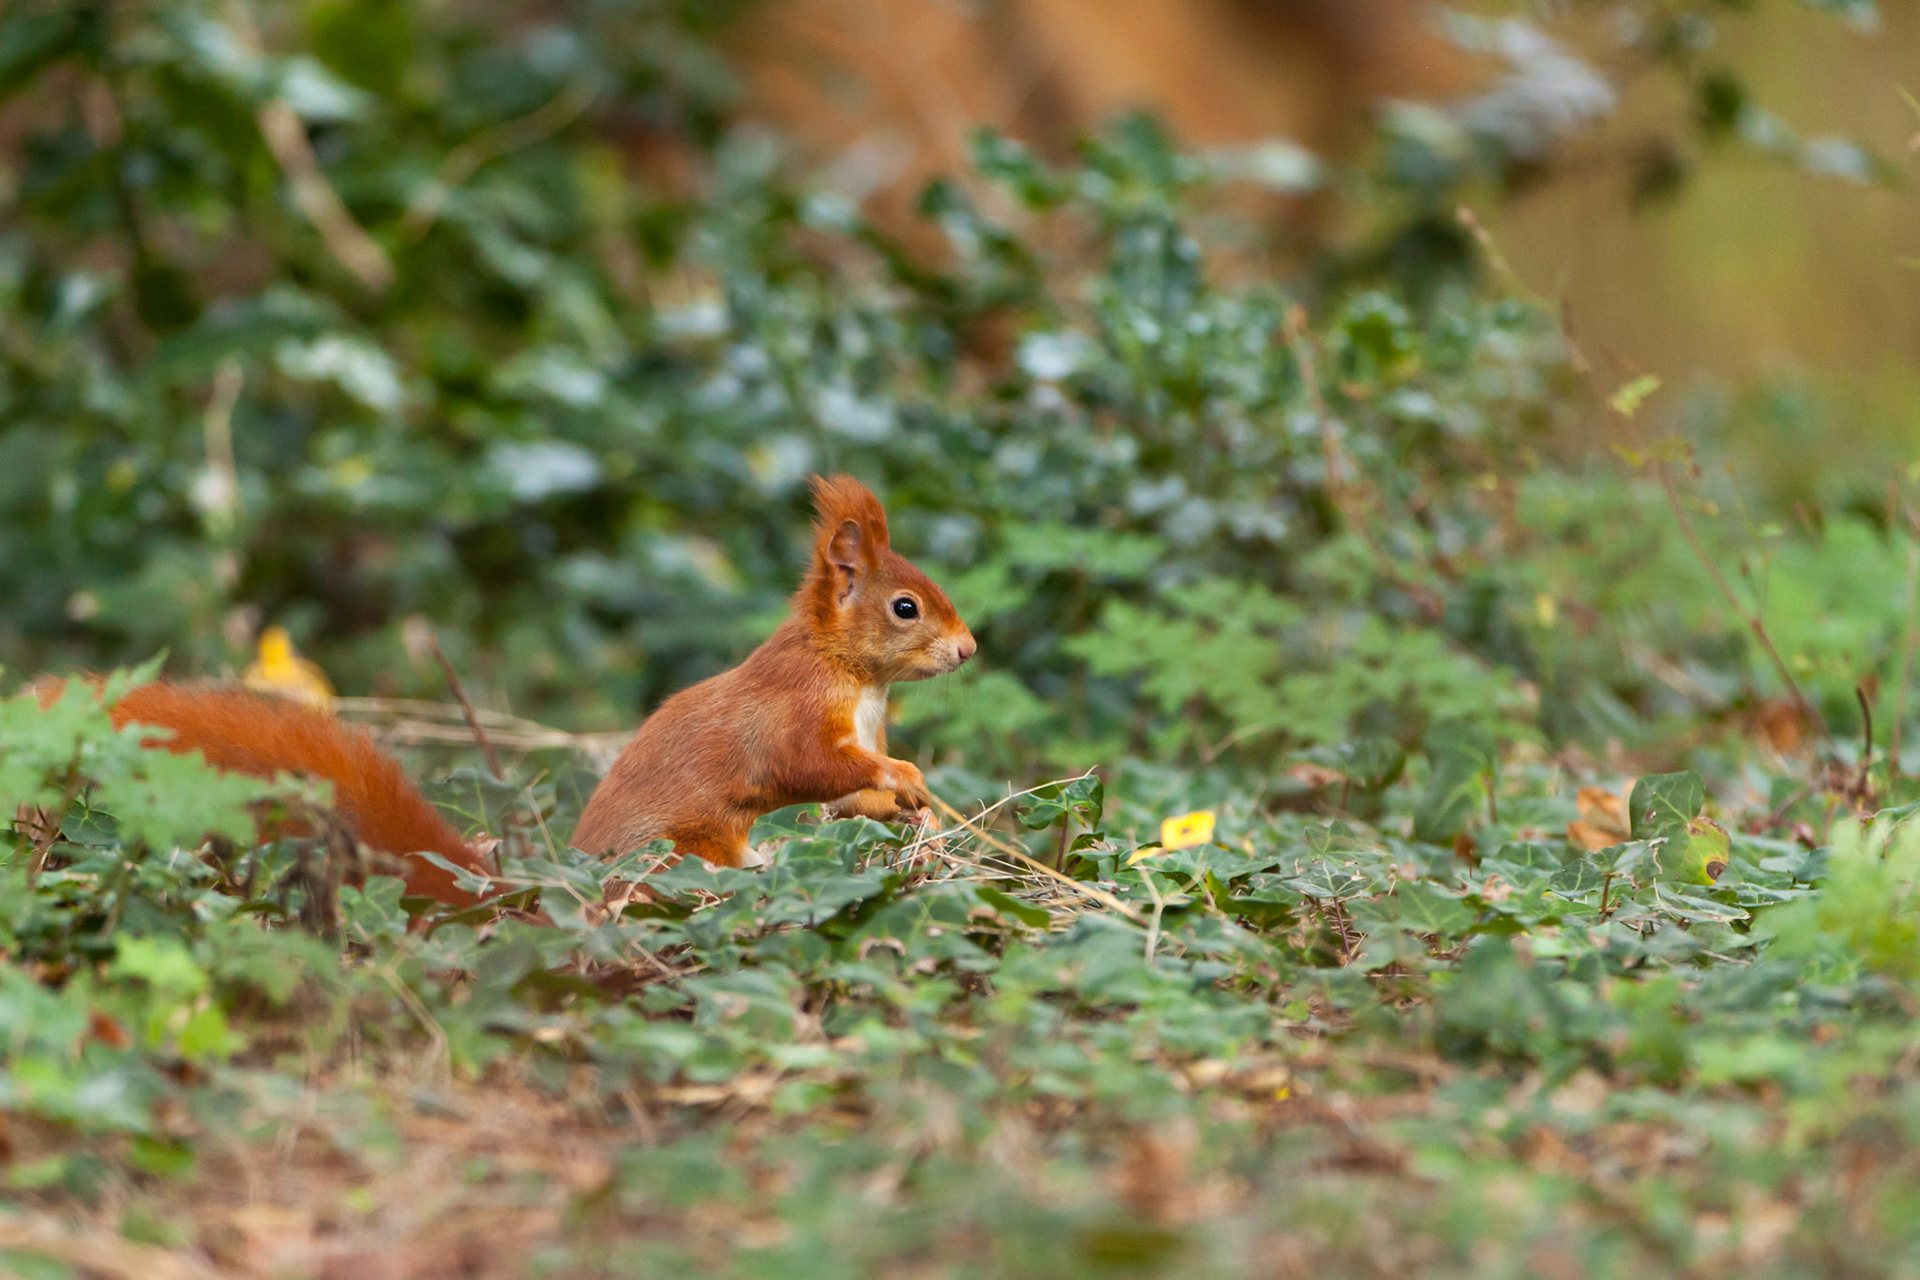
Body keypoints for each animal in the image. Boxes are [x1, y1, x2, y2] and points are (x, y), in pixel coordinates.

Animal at [20, 475, 973, 901]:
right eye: (905, 606)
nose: (967, 650)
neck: (855, 677)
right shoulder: (792, 717)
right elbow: (808, 766)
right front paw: (903, 780)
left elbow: (847, 794)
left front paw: (904, 798)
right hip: (682, 856)